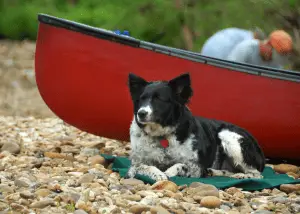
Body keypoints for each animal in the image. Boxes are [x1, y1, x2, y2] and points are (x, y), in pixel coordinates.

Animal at [125, 72, 266, 181]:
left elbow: (179, 164)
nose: (141, 113)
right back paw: (215, 172)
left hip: (227, 135)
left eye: (159, 99)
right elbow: (144, 167)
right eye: (141, 99)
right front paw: (158, 173)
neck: (162, 135)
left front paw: (168, 172)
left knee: (257, 174)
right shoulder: (136, 163)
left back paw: (241, 176)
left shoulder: (196, 167)